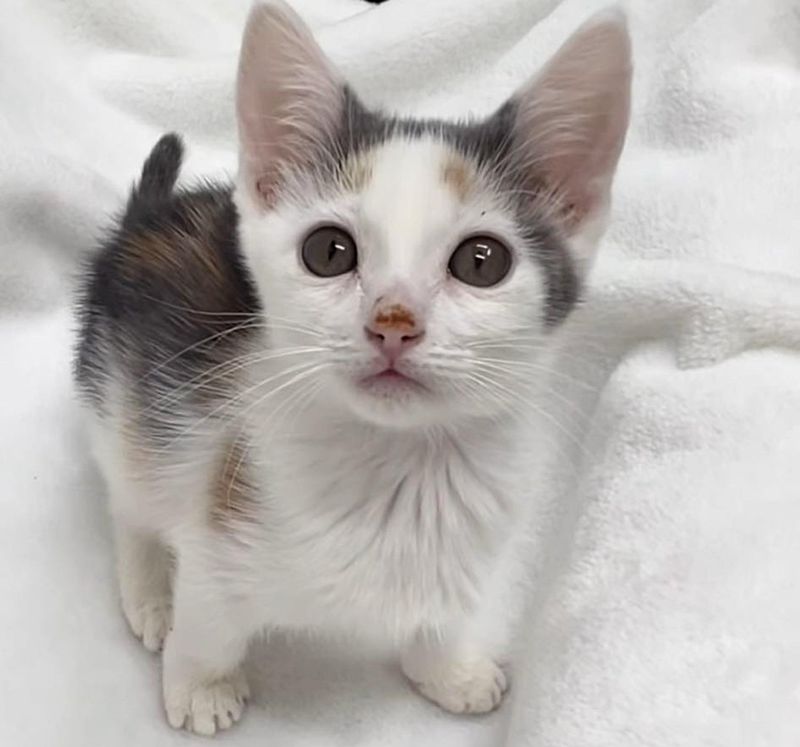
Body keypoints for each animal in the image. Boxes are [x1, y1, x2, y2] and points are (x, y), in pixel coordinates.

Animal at [73, 0, 632, 736]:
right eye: (329, 251)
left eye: (482, 261)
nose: (393, 321)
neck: (398, 467)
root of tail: (147, 216)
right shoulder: (219, 511)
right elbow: (209, 619)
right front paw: (200, 685)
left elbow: (441, 618)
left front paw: (450, 669)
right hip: (126, 389)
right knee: (131, 492)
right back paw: (149, 592)